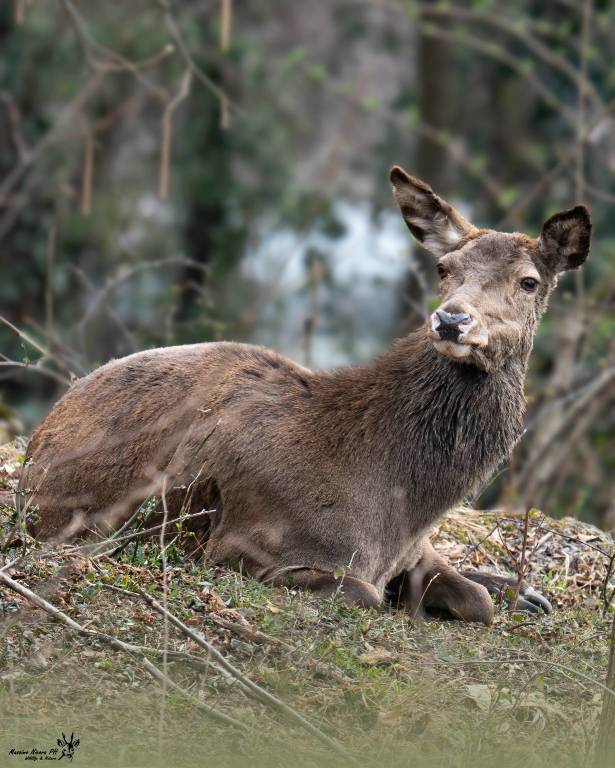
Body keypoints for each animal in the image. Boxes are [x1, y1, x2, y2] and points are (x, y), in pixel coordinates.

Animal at [20, 168, 592, 624]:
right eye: (444, 268)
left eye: (528, 281)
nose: (451, 320)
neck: (398, 511)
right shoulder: (242, 546)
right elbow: (369, 594)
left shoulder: (416, 550)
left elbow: (476, 599)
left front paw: (504, 590)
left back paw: (524, 589)